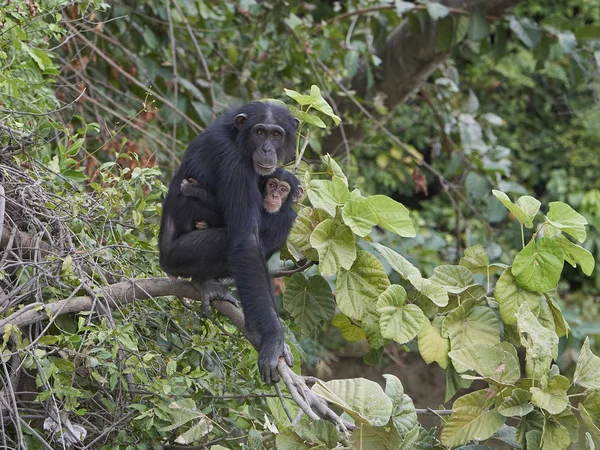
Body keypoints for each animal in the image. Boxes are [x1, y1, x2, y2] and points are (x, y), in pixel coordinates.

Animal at [159, 101, 300, 384]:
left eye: (276, 134)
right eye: (259, 132)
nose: (267, 148)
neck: (239, 139)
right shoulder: (233, 160)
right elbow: (247, 240)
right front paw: (273, 338)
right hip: (177, 256)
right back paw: (203, 282)